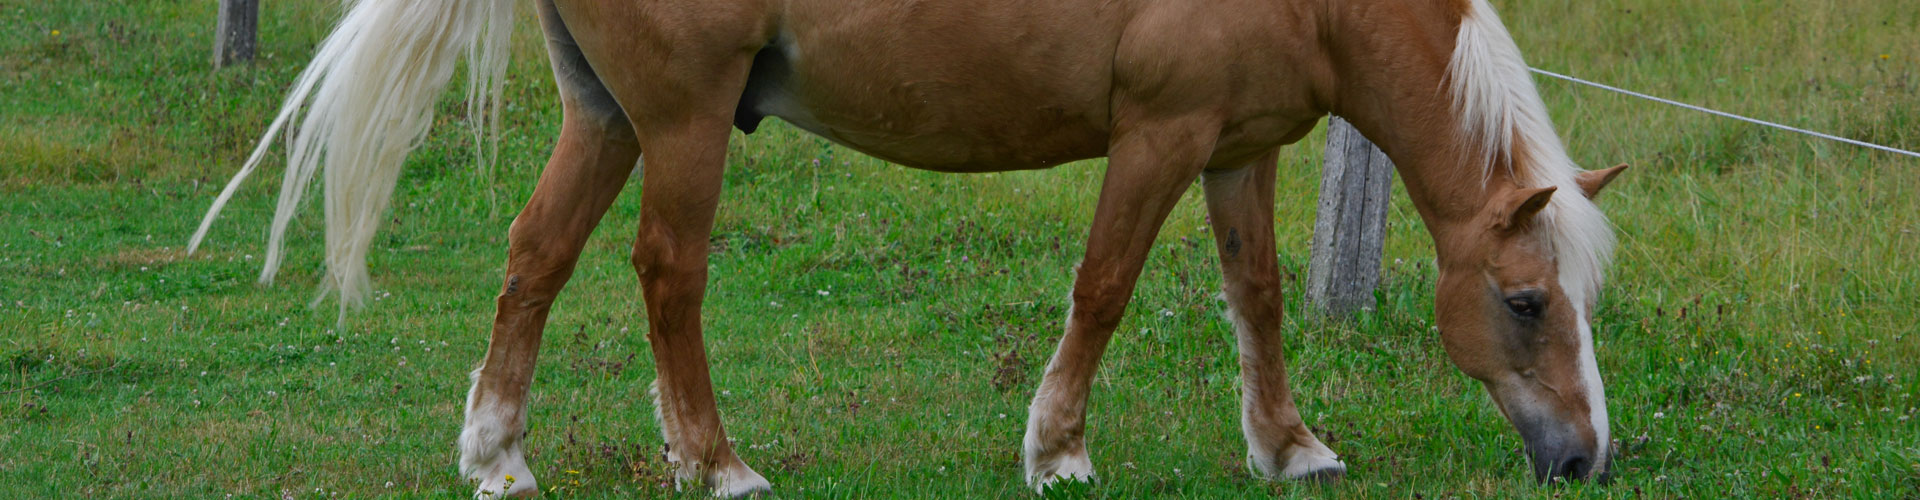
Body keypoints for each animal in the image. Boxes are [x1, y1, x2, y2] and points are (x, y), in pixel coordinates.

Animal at [190, 0, 1631, 496]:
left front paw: (1290, 448)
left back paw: (498, 459)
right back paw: (715, 465)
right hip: (685, 123)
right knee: (669, 276)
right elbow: (1104, 289)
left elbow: (1259, 296)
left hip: (604, 118)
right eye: (1522, 301)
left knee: (534, 257)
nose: (1584, 459)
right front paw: (1058, 451)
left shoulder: (1238, 145)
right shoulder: (1158, 137)